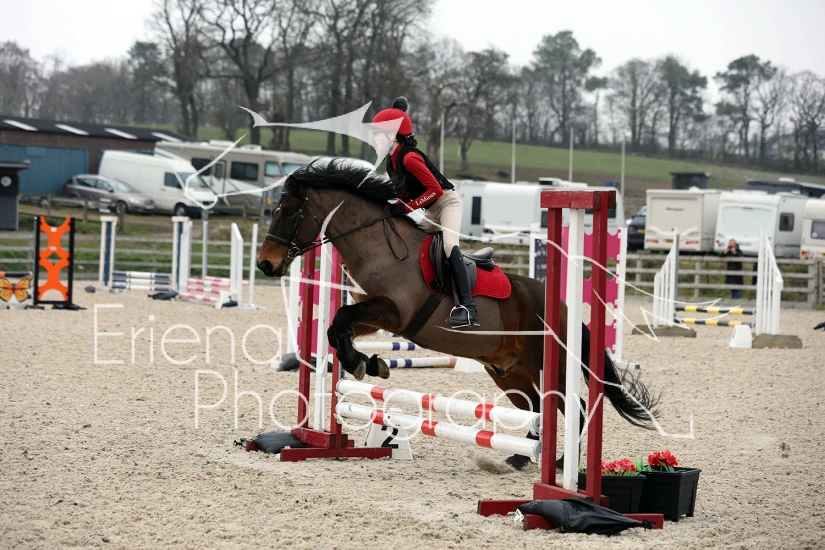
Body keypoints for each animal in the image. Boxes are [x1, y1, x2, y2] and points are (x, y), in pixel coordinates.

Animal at [257, 160, 659, 469]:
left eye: (289, 211)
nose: (266, 264)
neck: (377, 246)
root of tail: (562, 307)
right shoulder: (374, 315)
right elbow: (336, 328)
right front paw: (369, 364)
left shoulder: (393, 312)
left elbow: (340, 318)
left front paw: (361, 364)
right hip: (507, 371)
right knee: (532, 406)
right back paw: (522, 456)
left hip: (547, 364)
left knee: (573, 408)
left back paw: (561, 465)